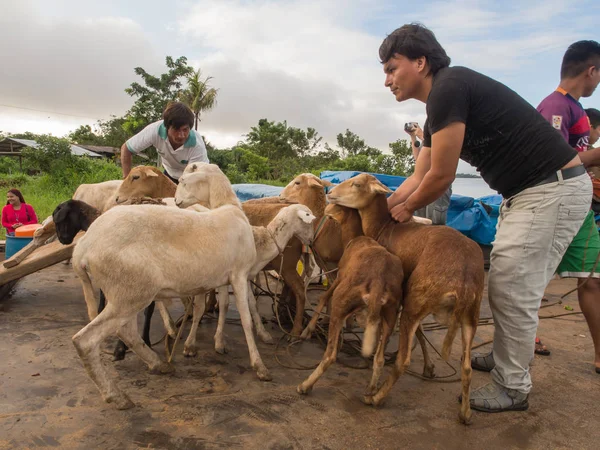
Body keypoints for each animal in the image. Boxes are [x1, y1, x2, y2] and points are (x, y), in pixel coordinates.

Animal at [70, 163, 268, 410]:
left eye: (183, 181)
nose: (176, 200)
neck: (229, 208)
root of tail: (84, 246)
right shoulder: (240, 275)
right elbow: (246, 319)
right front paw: (259, 365)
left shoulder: (219, 279)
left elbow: (216, 307)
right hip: (132, 292)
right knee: (86, 340)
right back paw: (116, 396)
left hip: (126, 293)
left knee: (126, 331)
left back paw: (158, 364)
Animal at [296, 204, 404, 398]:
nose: (324, 212)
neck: (355, 238)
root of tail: (379, 281)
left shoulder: (339, 276)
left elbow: (324, 297)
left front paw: (307, 330)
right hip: (390, 314)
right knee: (379, 359)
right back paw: (371, 393)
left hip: (342, 299)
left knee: (330, 355)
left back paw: (305, 385)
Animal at [326, 174, 486, 424]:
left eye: (357, 184)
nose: (330, 192)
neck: (381, 228)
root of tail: (463, 279)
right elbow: (420, 332)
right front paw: (429, 367)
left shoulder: (401, 295)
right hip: (471, 314)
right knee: (467, 366)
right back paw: (465, 413)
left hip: (418, 298)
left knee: (403, 360)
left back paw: (376, 397)